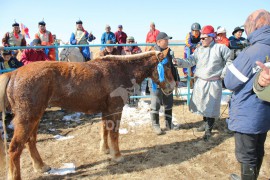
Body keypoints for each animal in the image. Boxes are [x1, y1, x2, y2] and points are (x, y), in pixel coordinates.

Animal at [0, 50, 175, 179]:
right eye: (166, 66)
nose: (172, 87)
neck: (120, 70)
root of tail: (13, 74)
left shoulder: (106, 110)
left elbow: (104, 130)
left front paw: (105, 150)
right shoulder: (115, 109)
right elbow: (114, 134)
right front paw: (117, 155)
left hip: (35, 116)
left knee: (30, 141)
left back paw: (41, 166)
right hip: (28, 118)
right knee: (15, 148)